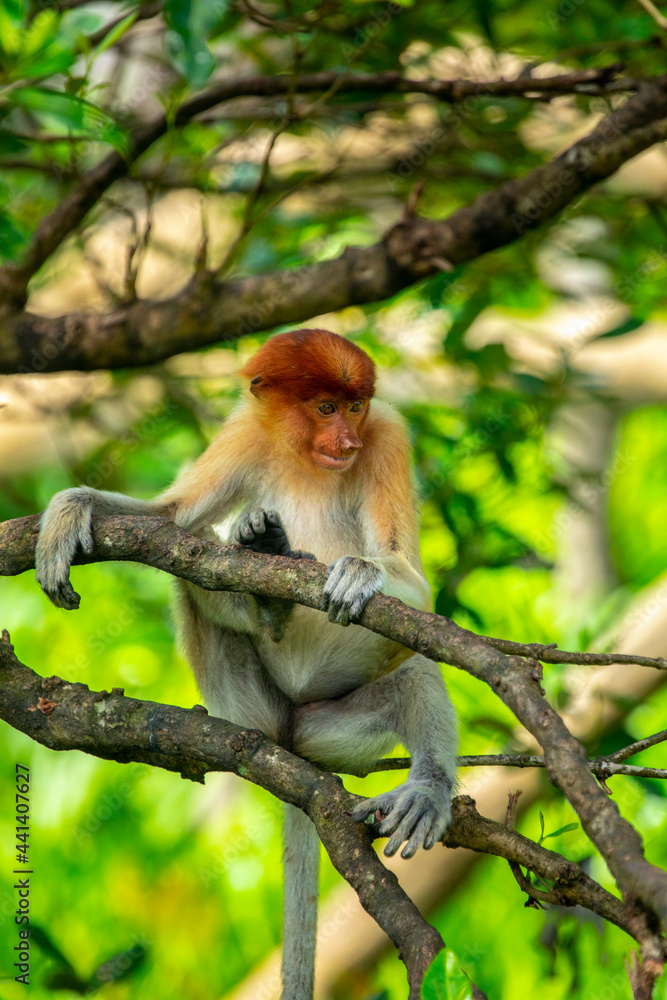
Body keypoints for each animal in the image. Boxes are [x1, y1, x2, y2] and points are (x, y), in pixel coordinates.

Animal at [35, 328, 458, 1000]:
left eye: (356, 407)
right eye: (325, 408)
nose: (348, 444)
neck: (306, 458)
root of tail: (291, 734)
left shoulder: (388, 436)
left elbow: (410, 579)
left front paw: (360, 570)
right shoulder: (245, 434)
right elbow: (167, 517)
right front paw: (69, 512)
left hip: (337, 728)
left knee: (413, 662)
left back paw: (427, 790)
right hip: (249, 703)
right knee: (194, 549)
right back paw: (265, 583)